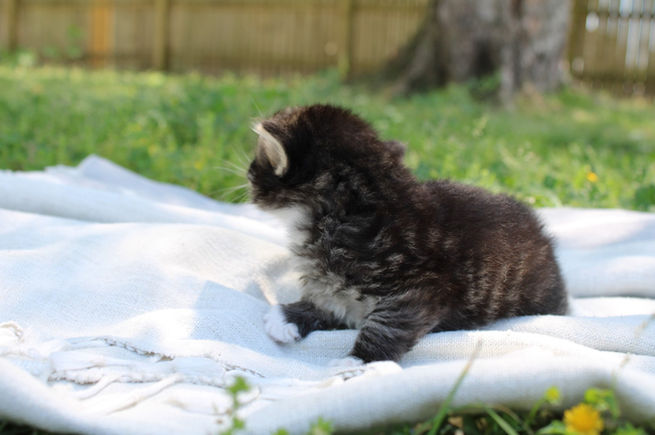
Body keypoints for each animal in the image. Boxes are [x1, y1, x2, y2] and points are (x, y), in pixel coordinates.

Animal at [247, 104, 568, 364]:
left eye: (259, 163)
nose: (248, 172)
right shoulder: (333, 284)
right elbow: (332, 302)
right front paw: (288, 316)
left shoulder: (420, 288)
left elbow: (387, 325)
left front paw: (357, 362)